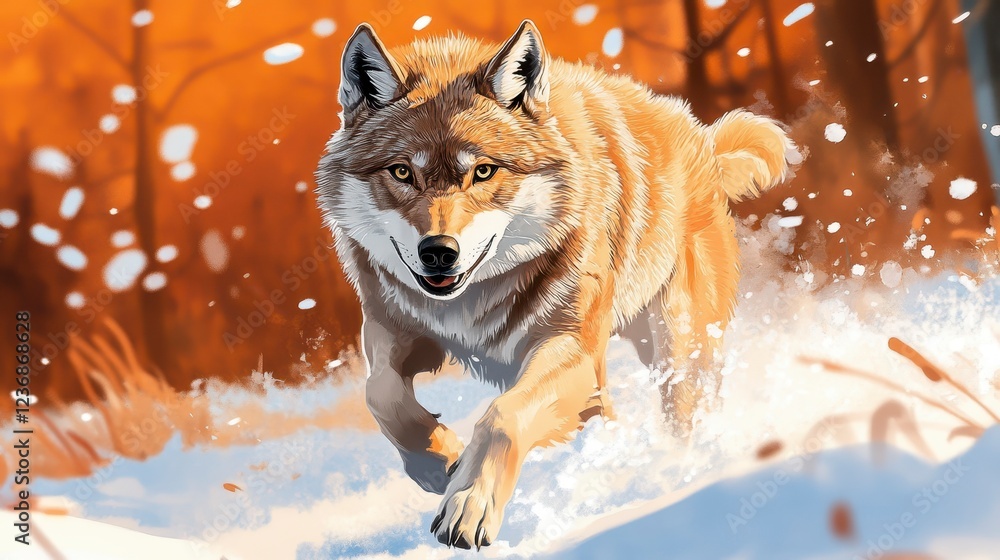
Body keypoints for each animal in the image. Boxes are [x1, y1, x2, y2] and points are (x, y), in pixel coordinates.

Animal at [316, 20, 792, 549]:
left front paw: (469, 503)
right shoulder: (391, 330)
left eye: (483, 171)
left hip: (676, 347)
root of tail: (701, 138)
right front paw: (442, 464)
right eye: (402, 172)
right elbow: (380, 397)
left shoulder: (570, 348)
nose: (439, 251)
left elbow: (502, 416)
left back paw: (670, 475)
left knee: (683, 415)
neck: (471, 300)